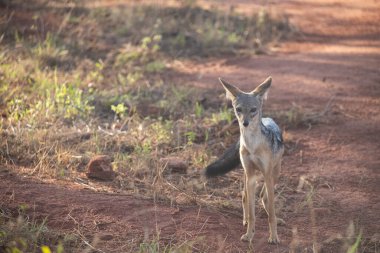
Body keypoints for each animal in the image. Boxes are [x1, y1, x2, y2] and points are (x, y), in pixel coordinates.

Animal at [205, 76, 282, 243]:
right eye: (239, 109)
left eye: (253, 109)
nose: (245, 123)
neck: (252, 145)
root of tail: (268, 118)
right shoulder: (251, 175)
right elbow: (252, 212)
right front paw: (249, 234)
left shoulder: (266, 174)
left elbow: (271, 211)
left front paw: (274, 236)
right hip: (247, 174)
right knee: (245, 196)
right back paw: (245, 220)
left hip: (274, 173)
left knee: (265, 197)